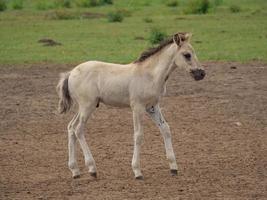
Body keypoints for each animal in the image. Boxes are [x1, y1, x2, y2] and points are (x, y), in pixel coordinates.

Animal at [57, 32, 206, 179]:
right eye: (187, 55)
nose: (201, 73)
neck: (150, 75)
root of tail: (70, 73)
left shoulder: (153, 107)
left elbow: (166, 129)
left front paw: (173, 167)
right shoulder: (137, 107)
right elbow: (138, 135)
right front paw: (137, 171)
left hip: (82, 107)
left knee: (71, 127)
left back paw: (75, 171)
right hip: (87, 106)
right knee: (78, 130)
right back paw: (92, 169)